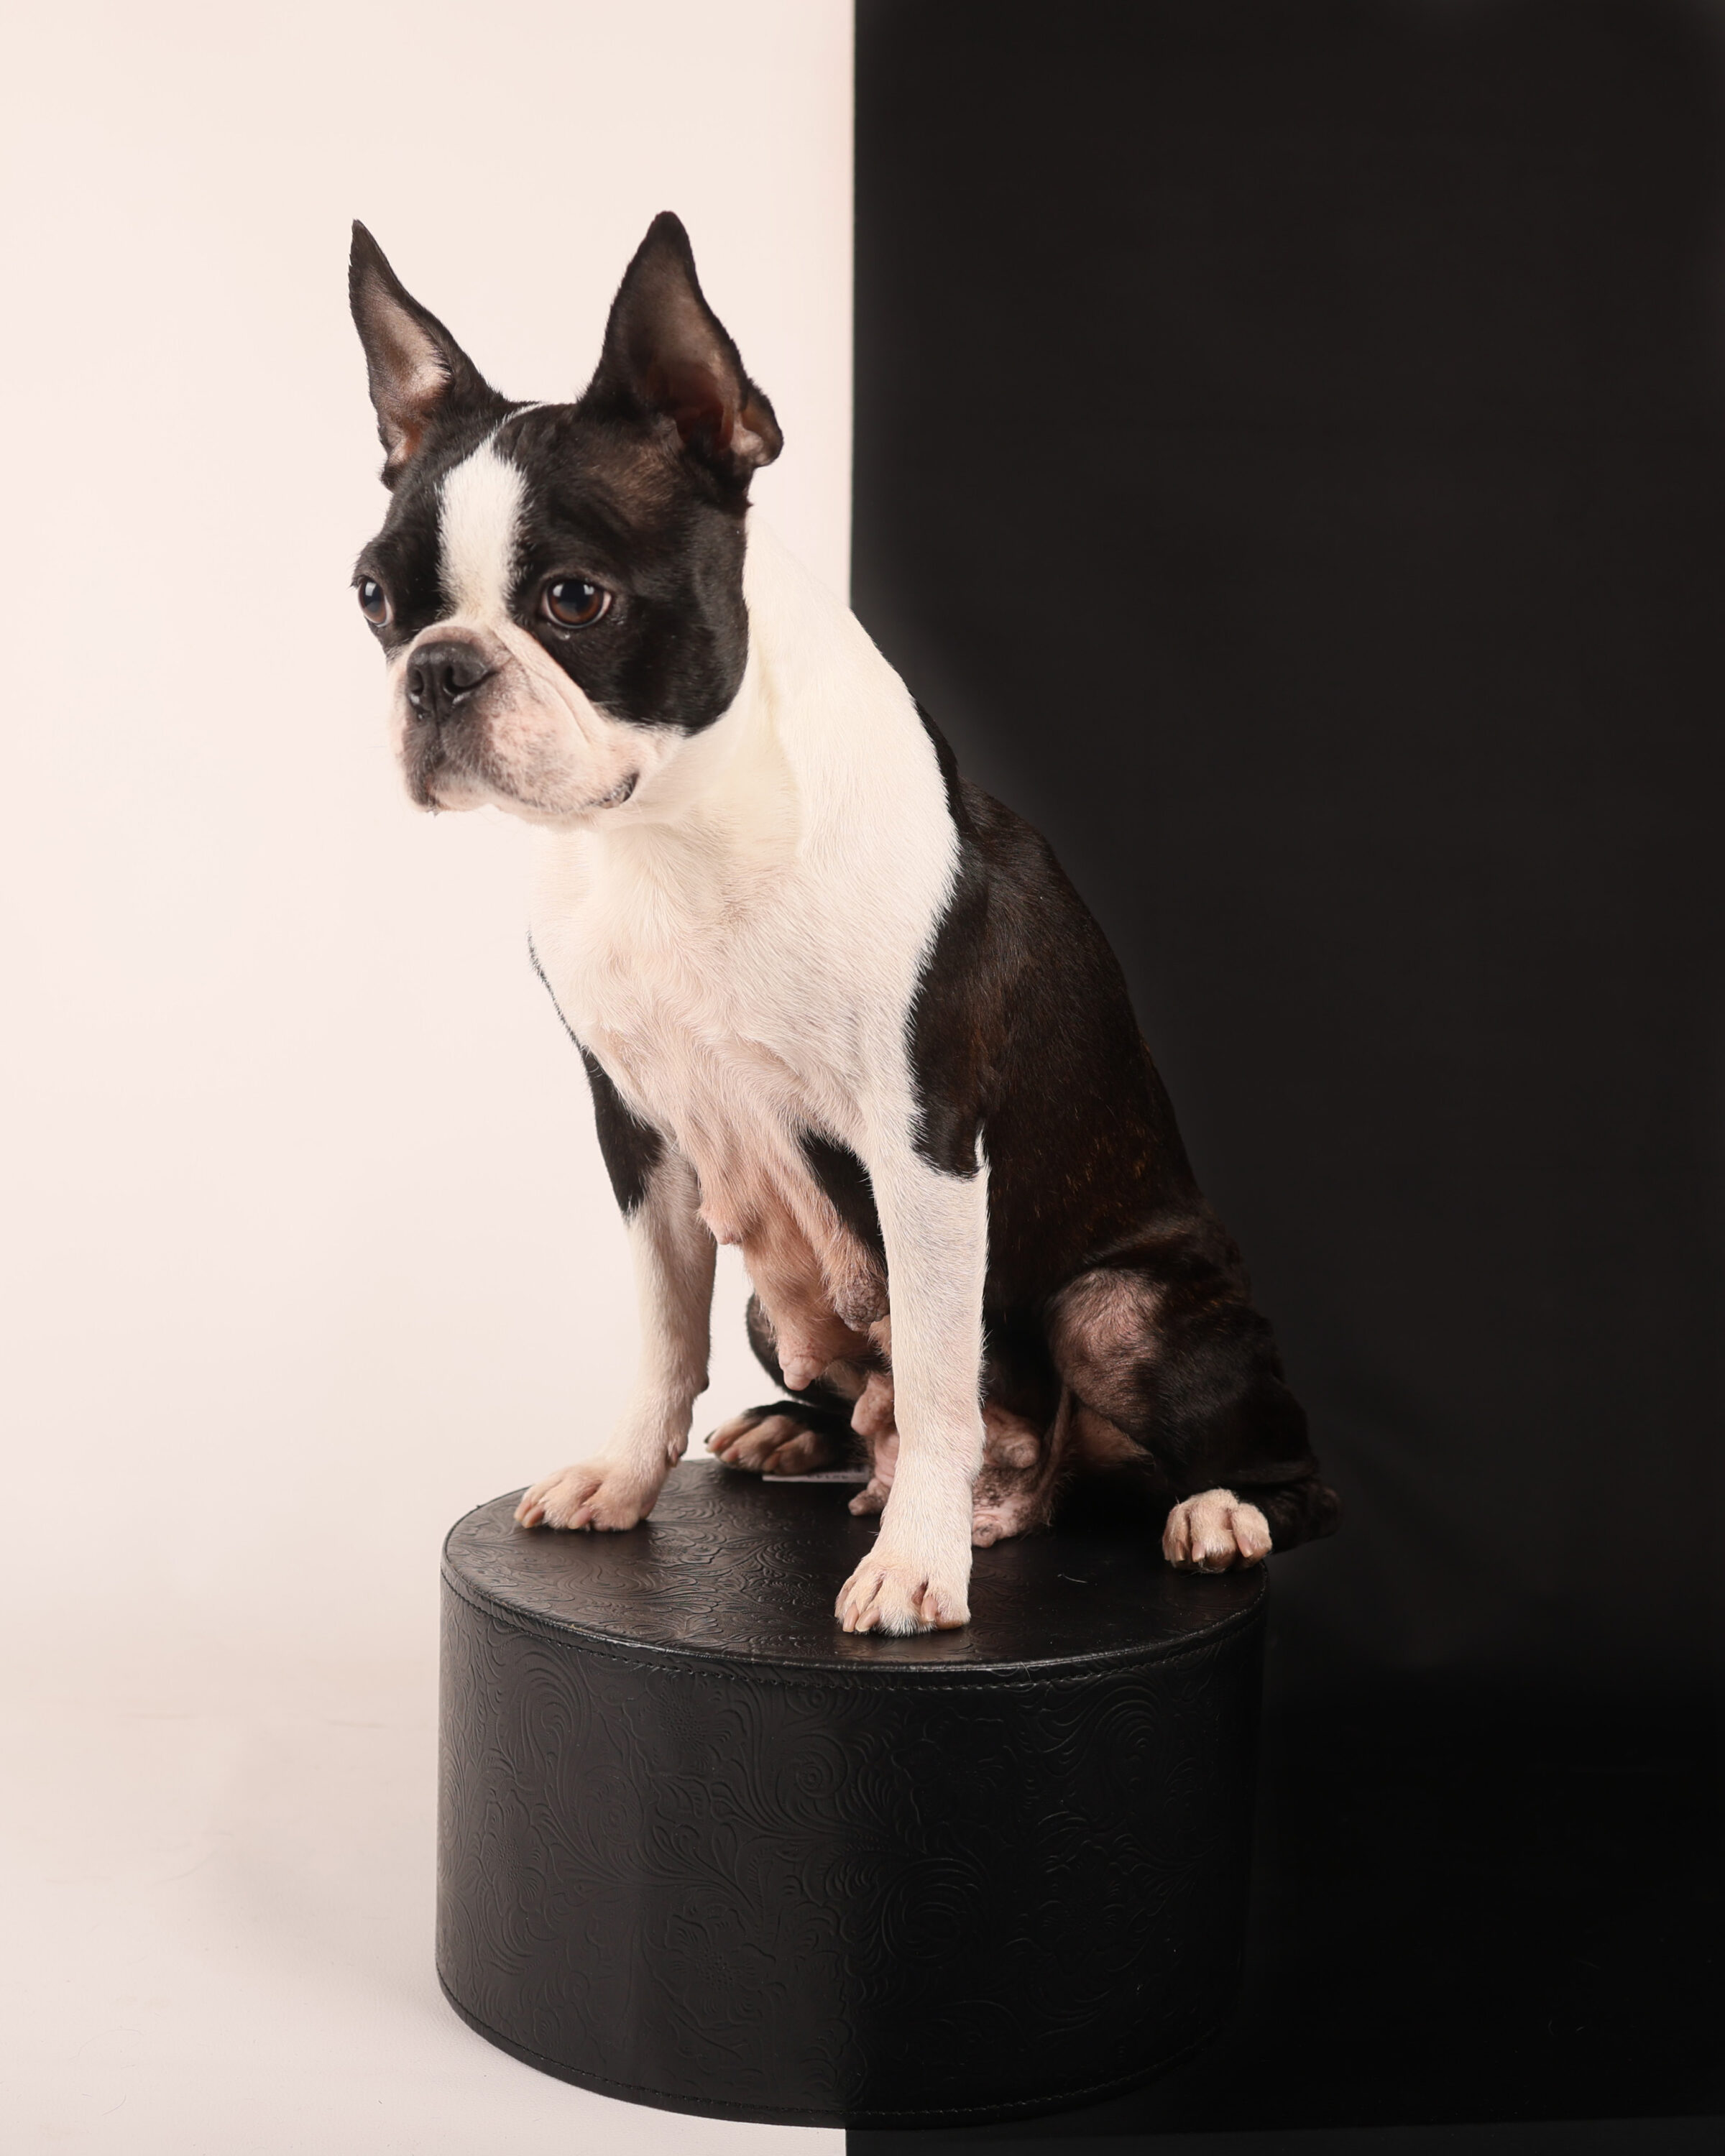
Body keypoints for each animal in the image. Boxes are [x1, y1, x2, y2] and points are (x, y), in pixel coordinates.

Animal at [348, 213, 1339, 1635]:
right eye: (375, 599)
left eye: (575, 601)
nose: (437, 670)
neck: (672, 832)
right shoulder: (639, 1133)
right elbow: (663, 1331)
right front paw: (624, 1476)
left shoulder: (918, 1142)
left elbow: (932, 1375)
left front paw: (919, 1561)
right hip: (782, 1300)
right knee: (854, 1386)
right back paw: (799, 1437)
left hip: (1122, 1309)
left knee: (1244, 1463)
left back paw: (1211, 1511)